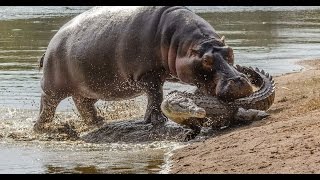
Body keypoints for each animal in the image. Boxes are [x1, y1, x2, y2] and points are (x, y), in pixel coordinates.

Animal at [33, 6, 254, 132]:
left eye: (230, 51)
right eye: (206, 60)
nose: (239, 81)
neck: (181, 44)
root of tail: (50, 44)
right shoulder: (147, 75)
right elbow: (155, 95)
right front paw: (157, 121)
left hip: (88, 88)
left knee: (83, 104)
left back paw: (98, 122)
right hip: (53, 88)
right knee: (47, 105)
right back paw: (43, 128)